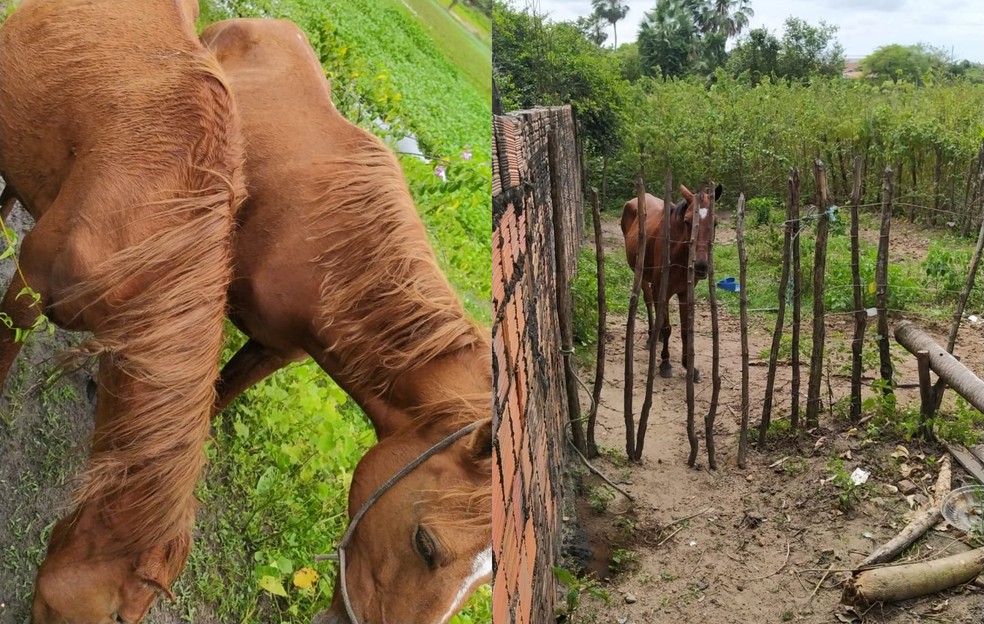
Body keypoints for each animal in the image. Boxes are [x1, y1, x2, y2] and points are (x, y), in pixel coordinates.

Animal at [624, 183, 724, 382]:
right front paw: (665, 363)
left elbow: (685, 330)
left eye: (715, 223)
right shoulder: (661, 290)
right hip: (642, 276)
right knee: (648, 301)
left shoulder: (684, 293)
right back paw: (651, 336)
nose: (701, 266)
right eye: (687, 221)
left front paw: (689, 367)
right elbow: (667, 327)